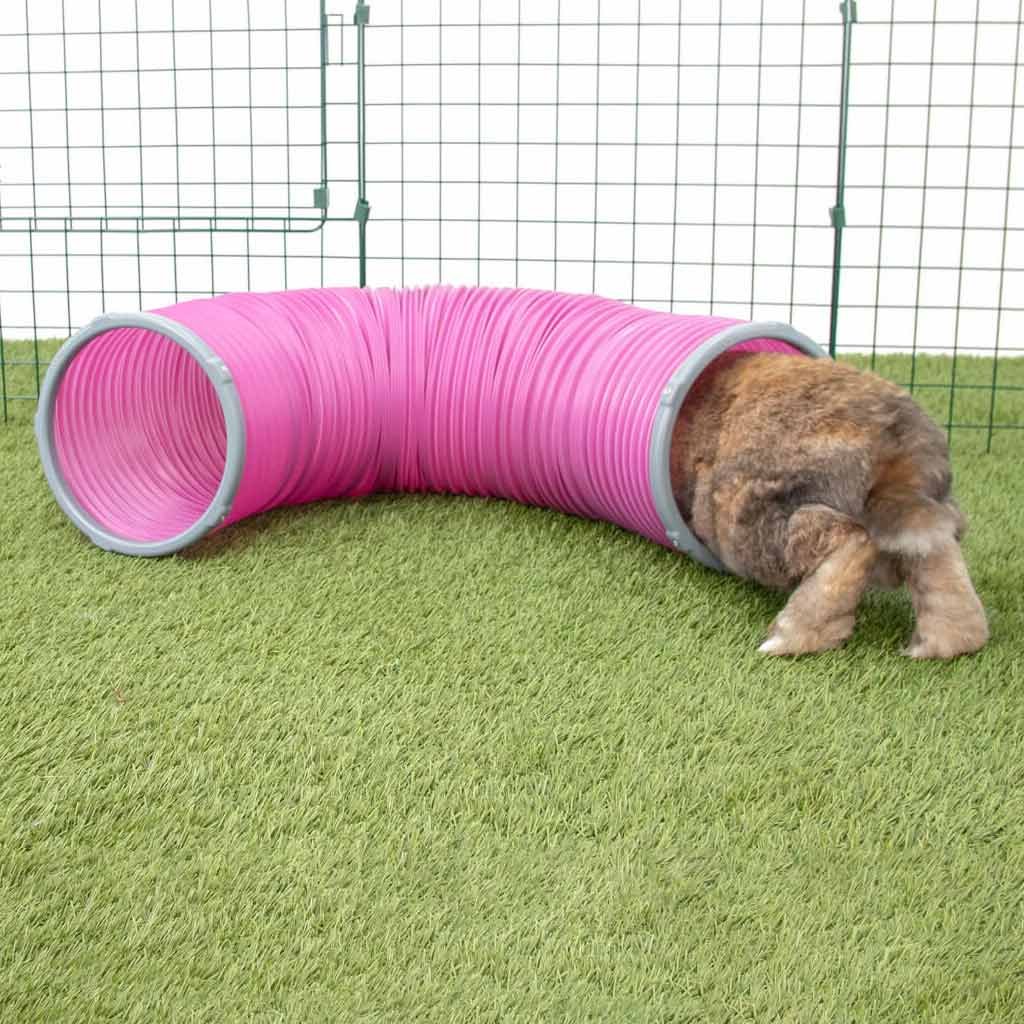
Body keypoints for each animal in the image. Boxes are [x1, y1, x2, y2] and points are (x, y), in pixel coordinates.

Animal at [669, 351, 989, 659]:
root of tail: (892, 450)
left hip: (753, 521)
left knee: (850, 542)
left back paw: (791, 638)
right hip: (928, 518)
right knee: (939, 560)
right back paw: (941, 645)